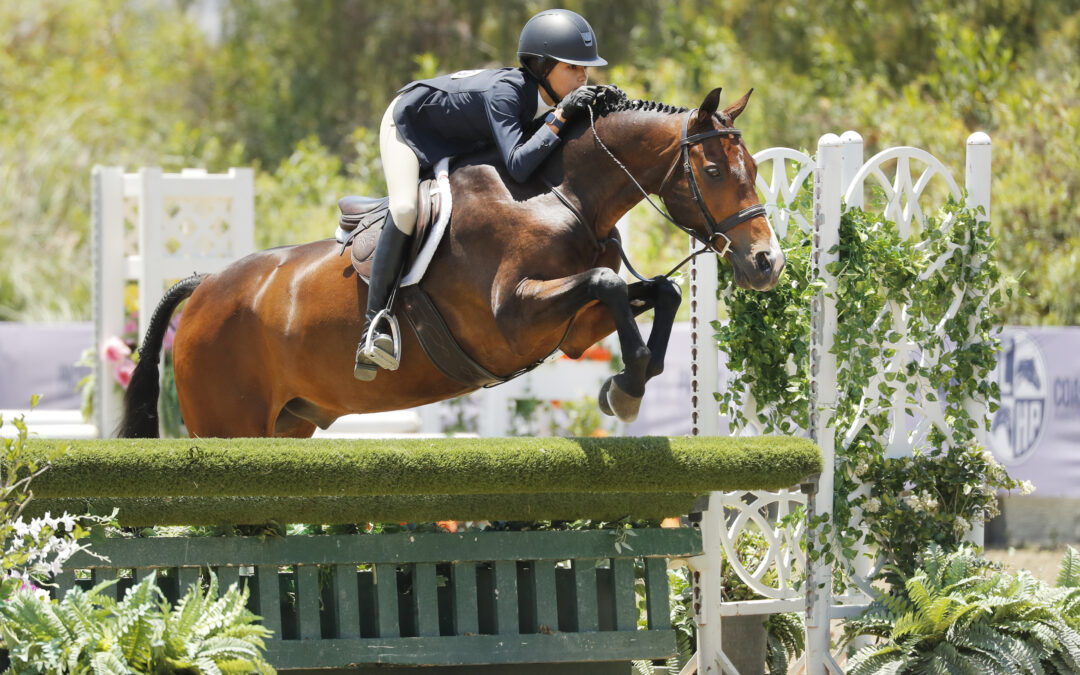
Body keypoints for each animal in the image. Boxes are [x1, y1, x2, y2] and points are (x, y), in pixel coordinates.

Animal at [120, 88, 786, 436]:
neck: (561, 196)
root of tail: (205, 287)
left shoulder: (571, 329)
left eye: (754, 168)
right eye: (714, 170)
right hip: (230, 428)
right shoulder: (513, 319)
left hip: (289, 423)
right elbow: (608, 281)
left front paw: (630, 382)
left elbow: (654, 293)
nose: (767, 263)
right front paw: (628, 384)